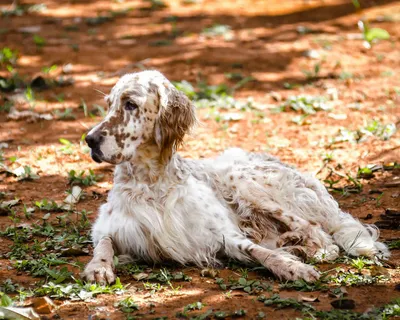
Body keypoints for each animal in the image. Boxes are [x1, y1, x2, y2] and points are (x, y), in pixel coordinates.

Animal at [83, 70, 390, 284]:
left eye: (130, 104)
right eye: (109, 105)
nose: (89, 140)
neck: (151, 183)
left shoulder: (222, 234)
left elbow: (259, 251)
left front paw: (292, 267)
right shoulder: (110, 226)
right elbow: (104, 244)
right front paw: (99, 267)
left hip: (241, 178)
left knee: (321, 236)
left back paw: (297, 247)